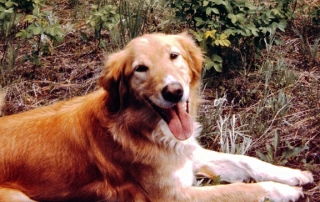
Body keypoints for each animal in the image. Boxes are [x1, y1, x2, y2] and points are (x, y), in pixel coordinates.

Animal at [0, 32, 314, 201]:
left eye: (174, 56)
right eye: (140, 68)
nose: (174, 92)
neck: (148, 130)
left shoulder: (188, 156)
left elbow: (246, 160)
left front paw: (292, 175)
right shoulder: (171, 196)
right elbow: (239, 191)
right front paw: (281, 191)